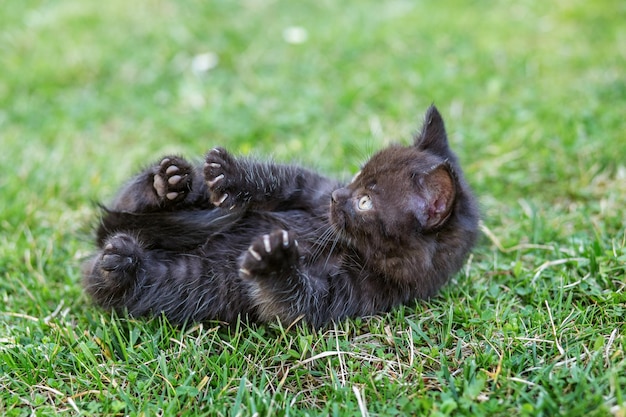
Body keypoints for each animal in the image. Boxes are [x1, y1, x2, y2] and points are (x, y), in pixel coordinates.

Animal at [80, 105, 476, 326]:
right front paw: (230, 174)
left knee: (107, 281)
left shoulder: (356, 293)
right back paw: (165, 184)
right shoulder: (308, 189)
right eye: (356, 177)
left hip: (184, 282)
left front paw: (275, 263)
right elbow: (278, 180)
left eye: (365, 203)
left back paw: (121, 264)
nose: (337, 197)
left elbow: (293, 304)